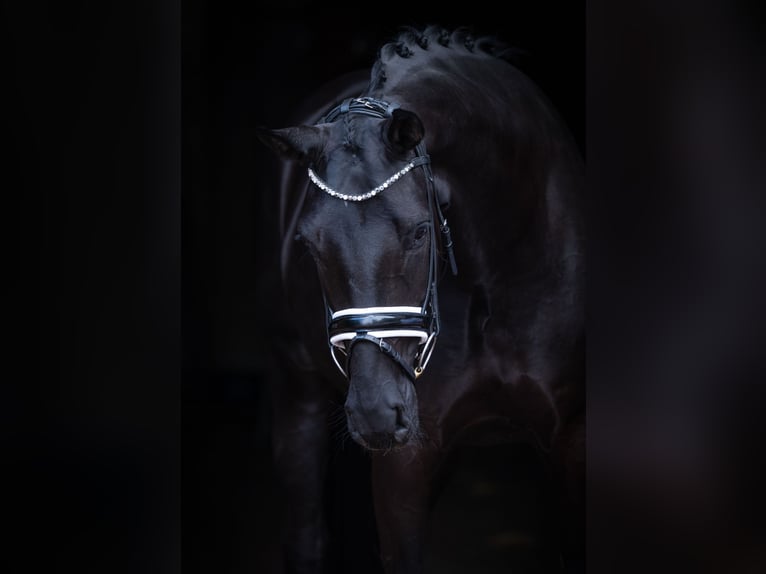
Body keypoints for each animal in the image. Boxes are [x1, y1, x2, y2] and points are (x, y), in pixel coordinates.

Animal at [256, 25, 585, 574]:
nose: (374, 414)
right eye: (308, 244)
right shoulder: (406, 463)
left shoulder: (571, 445)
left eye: (419, 232)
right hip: (296, 389)